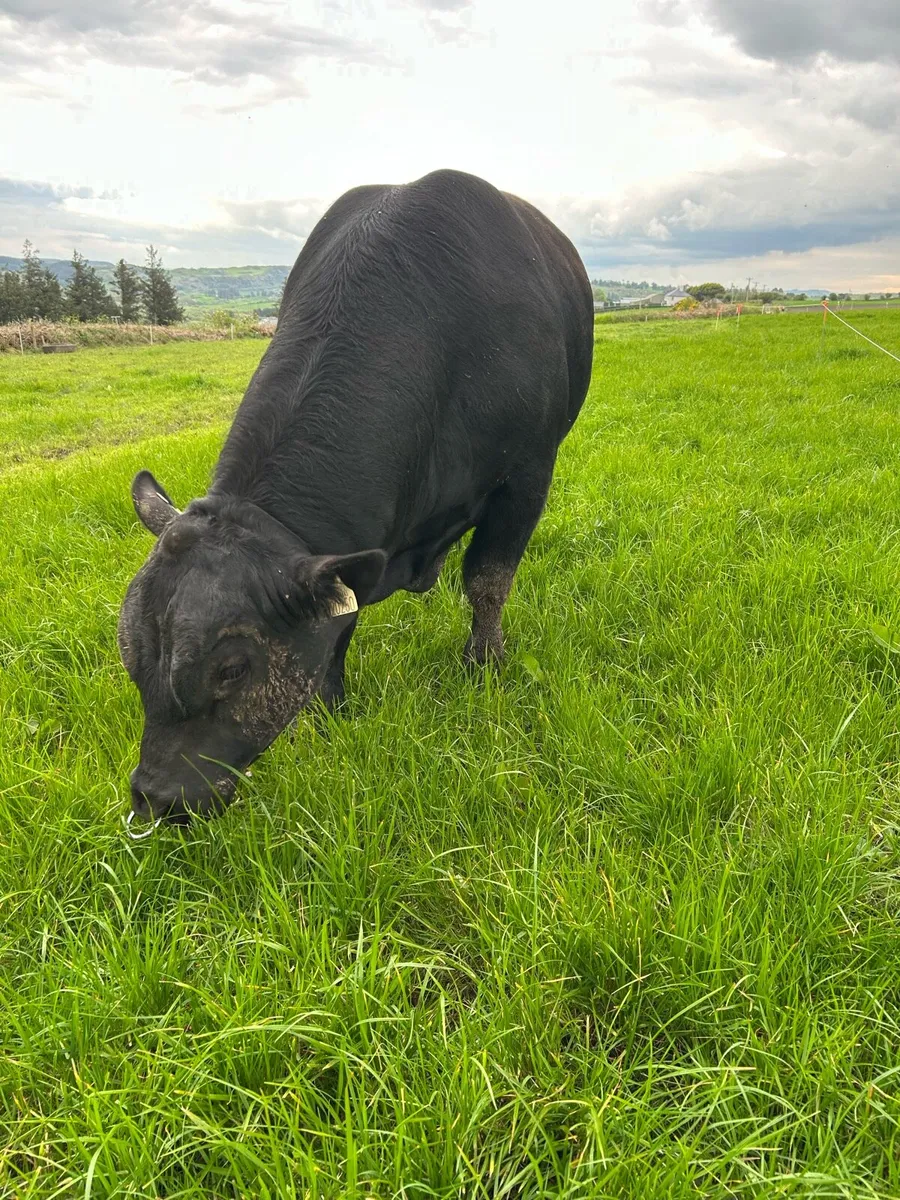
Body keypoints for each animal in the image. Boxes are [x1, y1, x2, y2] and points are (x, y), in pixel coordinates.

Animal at [118, 168, 593, 828]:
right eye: (132, 657)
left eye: (232, 668)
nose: (157, 797)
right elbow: (341, 618)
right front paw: (326, 711)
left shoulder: (528, 473)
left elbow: (489, 581)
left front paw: (484, 664)